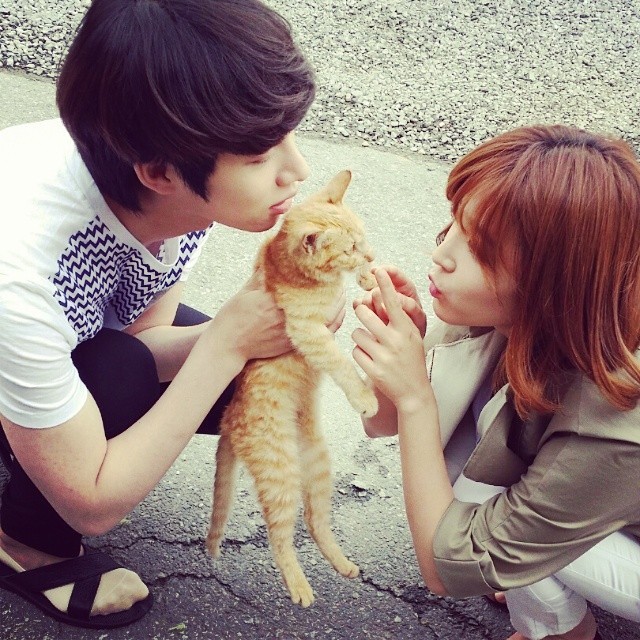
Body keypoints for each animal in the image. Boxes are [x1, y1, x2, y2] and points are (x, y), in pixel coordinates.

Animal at [205, 170, 378, 607]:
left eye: (364, 239)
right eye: (351, 247)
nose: (370, 257)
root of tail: (228, 422)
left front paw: (369, 277)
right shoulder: (309, 333)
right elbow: (342, 364)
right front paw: (364, 398)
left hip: (316, 463)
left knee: (315, 521)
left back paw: (341, 563)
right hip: (280, 472)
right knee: (279, 534)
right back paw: (299, 587)